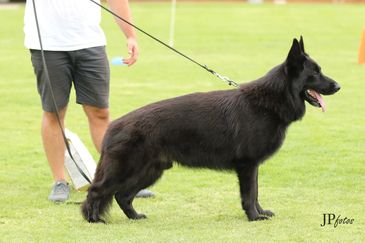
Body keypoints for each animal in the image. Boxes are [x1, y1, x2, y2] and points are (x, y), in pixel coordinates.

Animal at [81, 37, 340, 223]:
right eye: (314, 73)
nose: (338, 86)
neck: (268, 102)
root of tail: (114, 126)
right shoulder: (247, 165)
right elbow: (249, 195)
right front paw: (254, 217)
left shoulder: (253, 166)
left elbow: (256, 193)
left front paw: (261, 212)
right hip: (128, 170)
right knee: (97, 190)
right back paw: (93, 219)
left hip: (150, 171)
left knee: (122, 196)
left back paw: (135, 217)